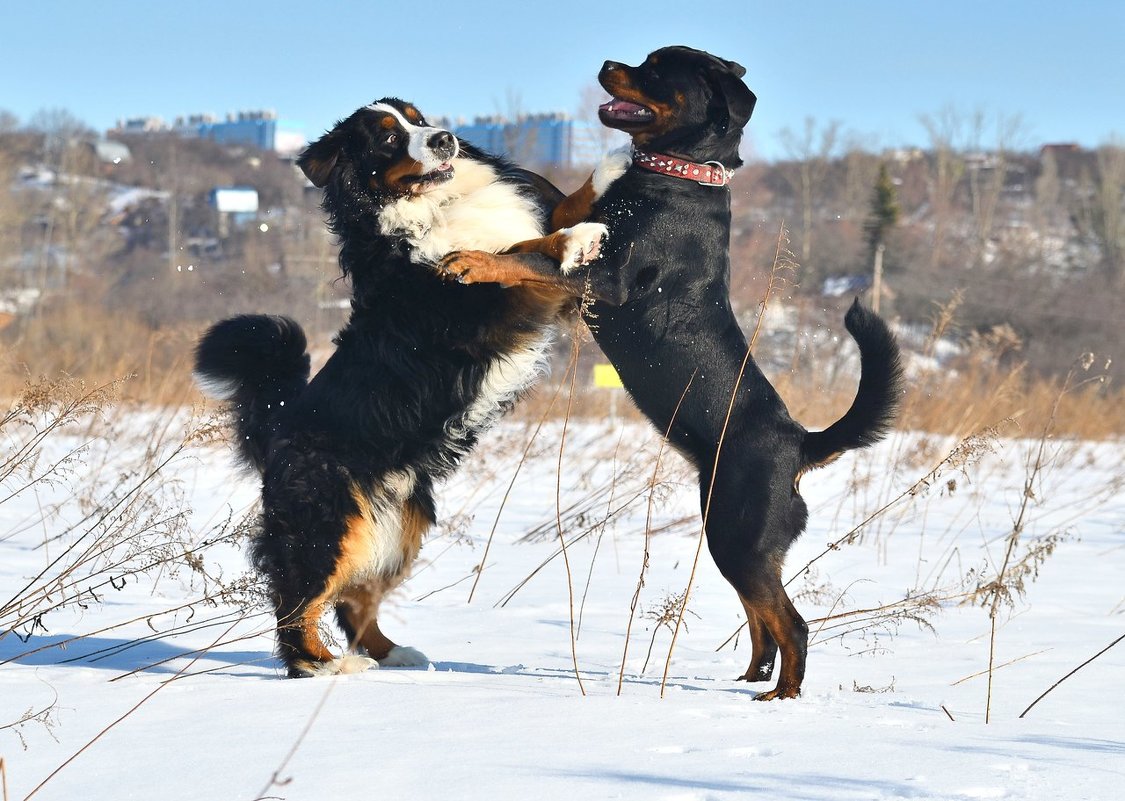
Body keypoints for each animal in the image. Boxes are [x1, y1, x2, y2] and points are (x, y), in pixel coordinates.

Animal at [198, 98, 612, 675]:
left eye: (418, 117)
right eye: (389, 139)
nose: (444, 139)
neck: (433, 205)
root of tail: (278, 428)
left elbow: (550, 215)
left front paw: (610, 168)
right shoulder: (470, 309)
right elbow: (516, 253)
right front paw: (574, 240)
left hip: (400, 524)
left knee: (354, 598)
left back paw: (394, 654)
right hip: (328, 520)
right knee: (297, 598)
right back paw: (324, 665)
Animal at [441, 50, 904, 697]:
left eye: (659, 69)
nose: (608, 61)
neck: (674, 175)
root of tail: (800, 443)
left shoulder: (607, 279)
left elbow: (528, 258)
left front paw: (473, 260)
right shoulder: (575, 219)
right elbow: (546, 213)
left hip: (739, 537)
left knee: (792, 623)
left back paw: (781, 696)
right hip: (730, 538)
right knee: (761, 619)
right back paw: (748, 679)